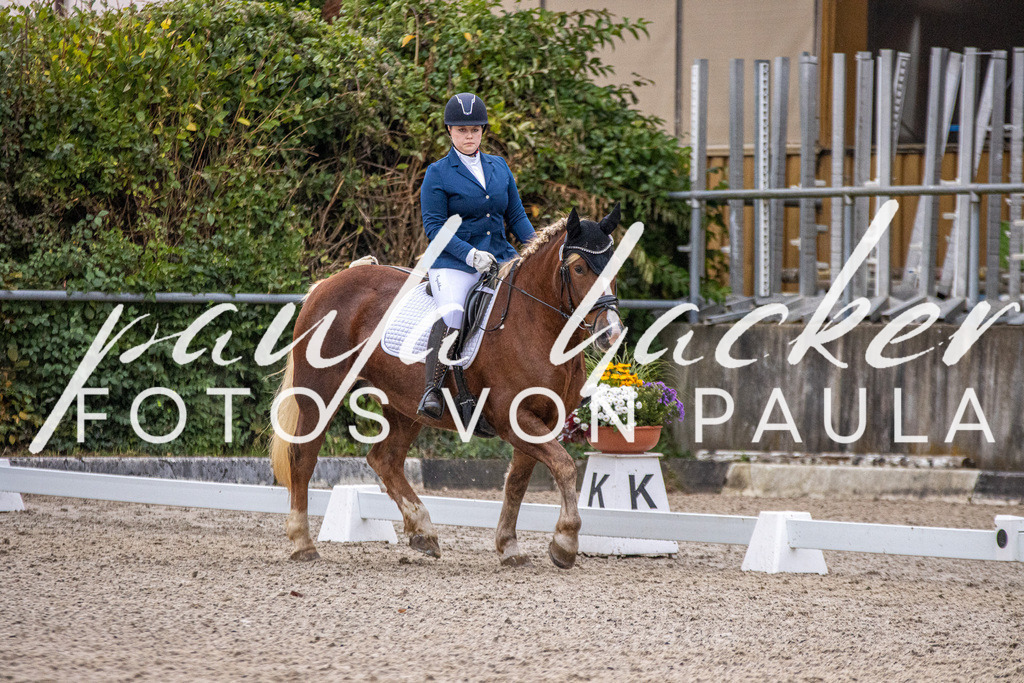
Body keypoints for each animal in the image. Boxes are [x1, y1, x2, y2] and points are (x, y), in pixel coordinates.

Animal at [269, 205, 626, 568]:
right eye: (579, 268)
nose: (610, 332)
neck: (535, 325)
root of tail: (326, 284)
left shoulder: (544, 419)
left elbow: (518, 481)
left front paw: (509, 546)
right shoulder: (511, 418)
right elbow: (564, 466)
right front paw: (565, 543)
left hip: (403, 406)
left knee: (385, 460)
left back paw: (423, 532)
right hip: (322, 390)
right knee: (303, 455)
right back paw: (303, 543)